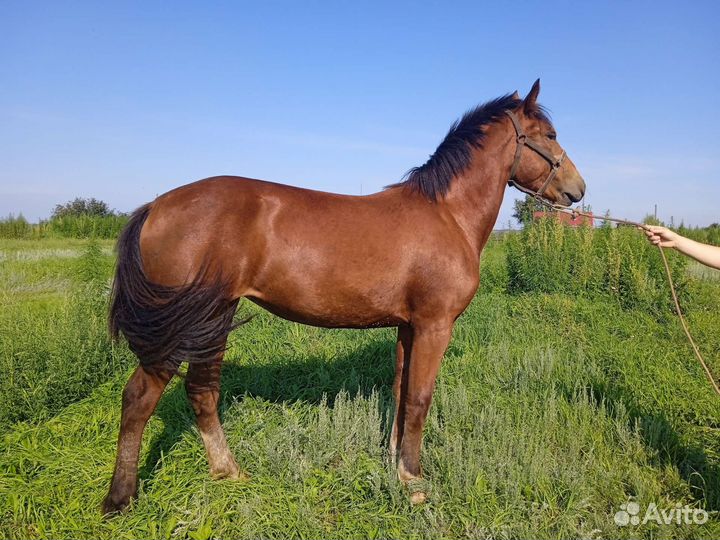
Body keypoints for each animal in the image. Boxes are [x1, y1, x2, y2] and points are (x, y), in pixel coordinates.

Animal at [102, 79, 586, 514]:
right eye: (550, 135)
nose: (578, 190)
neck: (447, 214)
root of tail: (155, 206)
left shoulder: (408, 326)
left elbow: (400, 391)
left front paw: (395, 465)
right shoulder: (434, 325)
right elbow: (419, 398)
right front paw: (415, 483)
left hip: (214, 319)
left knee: (202, 391)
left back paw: (229, 471)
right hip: (184, 325)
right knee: (140, 398)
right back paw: (120, 498)